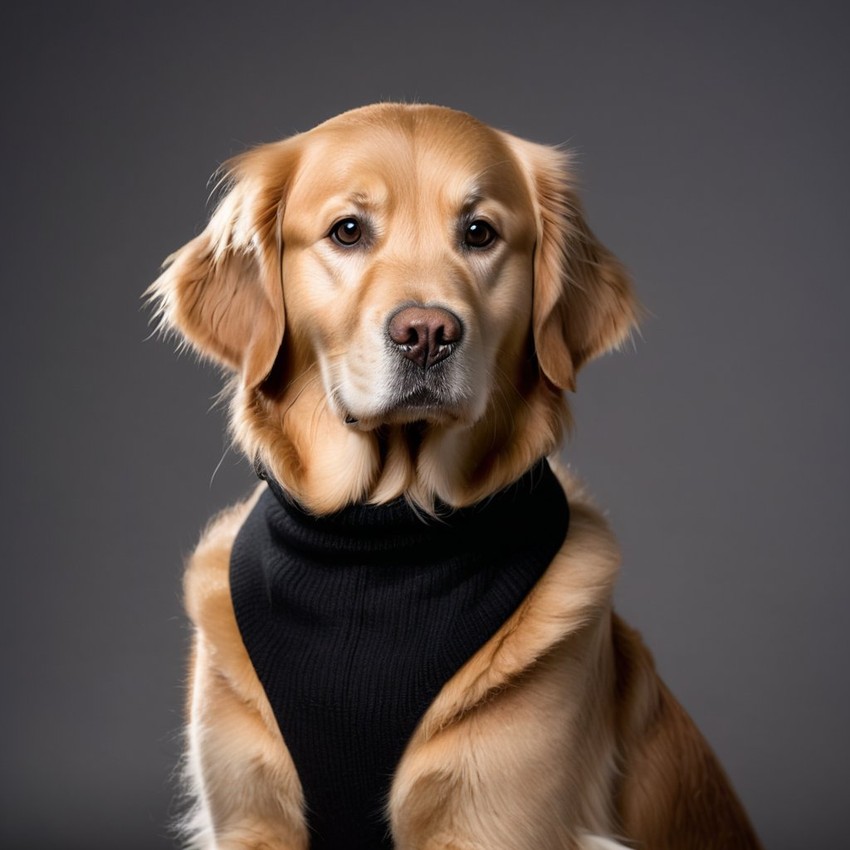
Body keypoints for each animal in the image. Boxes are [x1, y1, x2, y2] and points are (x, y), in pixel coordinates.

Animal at [149, 102, 764, 844]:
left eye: (479, 233)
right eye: (347, 231)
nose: (426, 334)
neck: (384, 543)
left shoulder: (496, 823)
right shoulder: (250, 816)